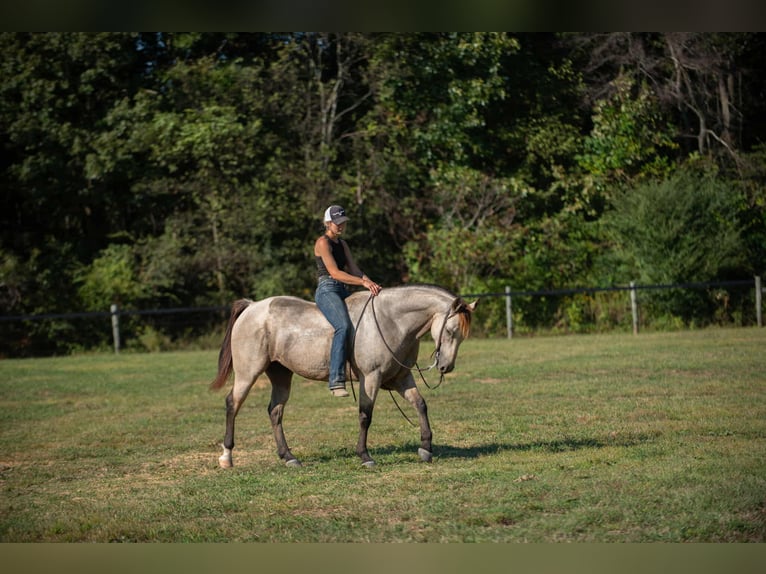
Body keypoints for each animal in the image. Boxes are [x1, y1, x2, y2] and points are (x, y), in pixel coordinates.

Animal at [209, 284, 477, 468]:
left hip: (281, 375)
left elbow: (421, 405)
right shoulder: (371, 378)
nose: (445, 367)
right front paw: (365, 456)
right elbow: (365, 416)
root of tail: (251, 307)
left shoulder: (401, 378)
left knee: (275, 412)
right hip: (248, 373)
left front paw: (426, 448)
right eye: (450, 331)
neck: (391, 320)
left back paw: (288, 457)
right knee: (232, 404)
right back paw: (227, 457)